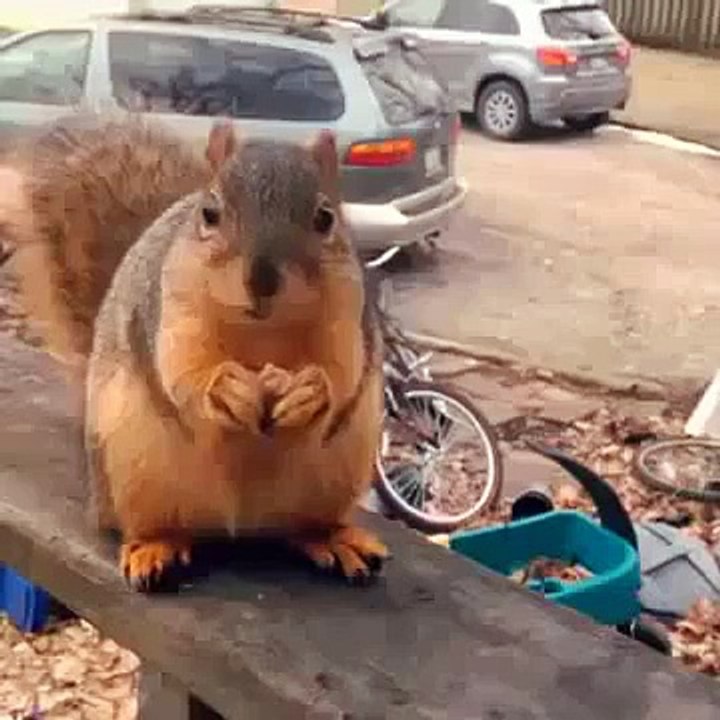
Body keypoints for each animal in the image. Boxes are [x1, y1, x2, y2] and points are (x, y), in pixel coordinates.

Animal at [10, 113, 389, 592]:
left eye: (325, 218)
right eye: (210, 213)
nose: (262, 280)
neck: (262, 331)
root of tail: (241, 528)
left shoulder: (348, 317)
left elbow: (342, 371)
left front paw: (310, 392)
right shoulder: (173, 308)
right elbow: (182, 370)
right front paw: (226, 389)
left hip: (336, 473)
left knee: (304, 525)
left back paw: (333, 538)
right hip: (134, 472)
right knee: (152, 524)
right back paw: (155, 547)